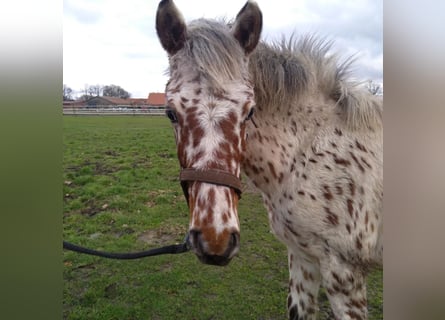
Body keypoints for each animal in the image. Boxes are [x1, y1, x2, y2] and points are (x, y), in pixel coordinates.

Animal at [154, 1, 380, 318]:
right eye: (170, 113)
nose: (215, 240)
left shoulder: (345, 272)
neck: (307, 154)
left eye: (250, 111)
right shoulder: (302, 257)